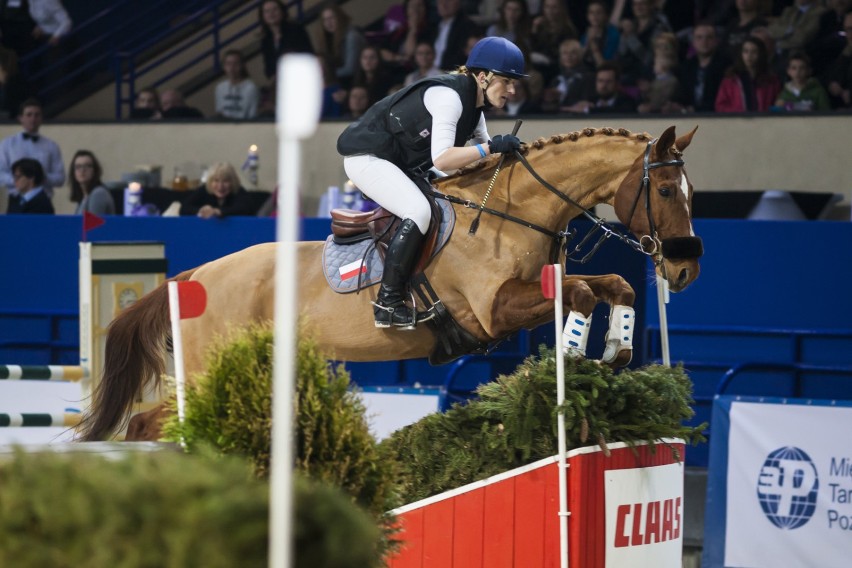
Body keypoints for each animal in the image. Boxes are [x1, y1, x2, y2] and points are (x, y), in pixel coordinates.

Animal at [78, 125, 704, 444]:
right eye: (665, 191)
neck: (513, 210)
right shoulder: (497, 310)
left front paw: (617, 347)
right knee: (149, 422)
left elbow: (615, 284)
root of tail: (191, 275)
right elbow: (581, 293)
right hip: (207, 371)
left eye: (691, 192)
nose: (684, 271)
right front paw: (575, 356)